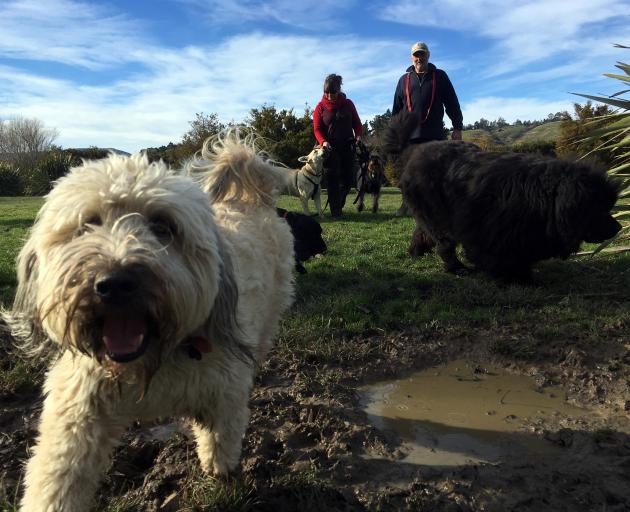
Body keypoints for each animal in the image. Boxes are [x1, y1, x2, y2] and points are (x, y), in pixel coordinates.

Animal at [3, 131, 296, 512]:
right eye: (88, 224)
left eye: (162, 226)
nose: (115, 284)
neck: (150, 361)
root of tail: (247, 198)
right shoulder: (77, 411)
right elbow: (57, 476)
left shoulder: (225, 392)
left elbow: (221, 443)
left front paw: (223, 478)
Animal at [386, 112, 624, 282]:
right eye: (598, 208)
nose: (619, 227)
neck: (545, 196)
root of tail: (413, 153)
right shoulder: (489, 227)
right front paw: (515, 276)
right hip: (438, 214)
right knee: (444, 243)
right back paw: (457, 268)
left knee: (424, 232)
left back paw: (416, 251)